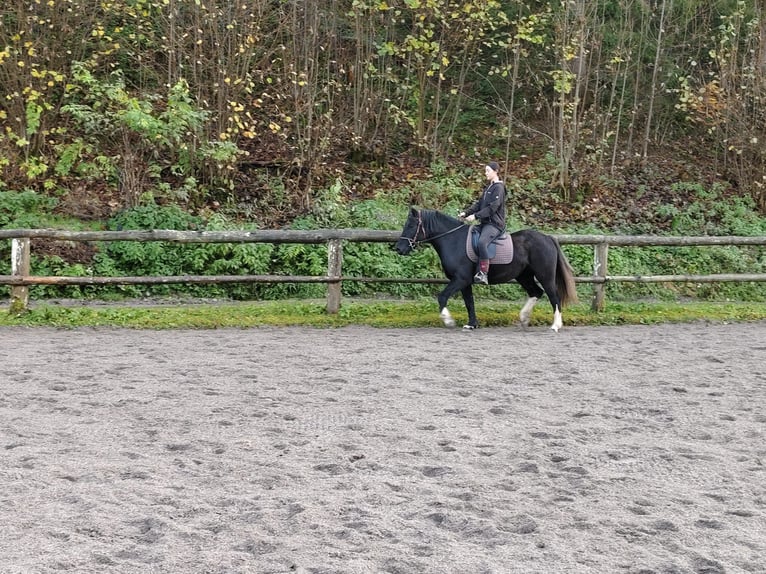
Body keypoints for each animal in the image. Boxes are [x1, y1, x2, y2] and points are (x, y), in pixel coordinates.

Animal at [400, 208, 580, 332]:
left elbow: (442, 296)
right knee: (536, 292)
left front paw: (448, 320)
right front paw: (471, 324)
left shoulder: (460, 279)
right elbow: (469, 303)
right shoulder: (465, 282)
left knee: (553, 296)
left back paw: (555, 325)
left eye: (411, 225)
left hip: (545, 275)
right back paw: (523, 318)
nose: (398, 248)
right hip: (524, 276)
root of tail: (547, 238)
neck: (453, 241)